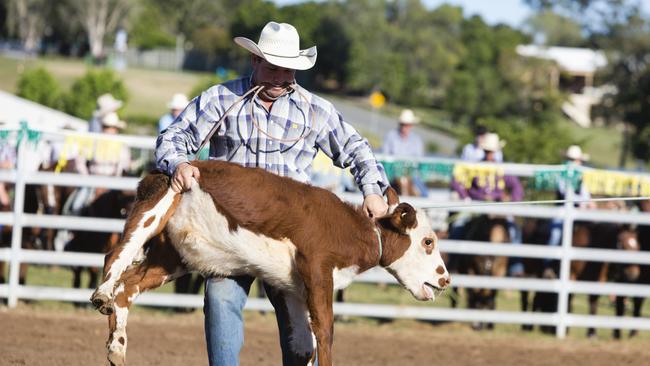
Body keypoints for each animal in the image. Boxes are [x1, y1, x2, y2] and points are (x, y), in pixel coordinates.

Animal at [91, 160, 448, 366]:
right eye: (428, 242)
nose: (445, 279)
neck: (349, 230)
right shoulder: (318, 269)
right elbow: (326, 331)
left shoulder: (293, 287)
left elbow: (303, 345)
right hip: (158, 204)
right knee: (116, 256)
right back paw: (101, 295)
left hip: (172, 255)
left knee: (129, 287)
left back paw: (117, 349)